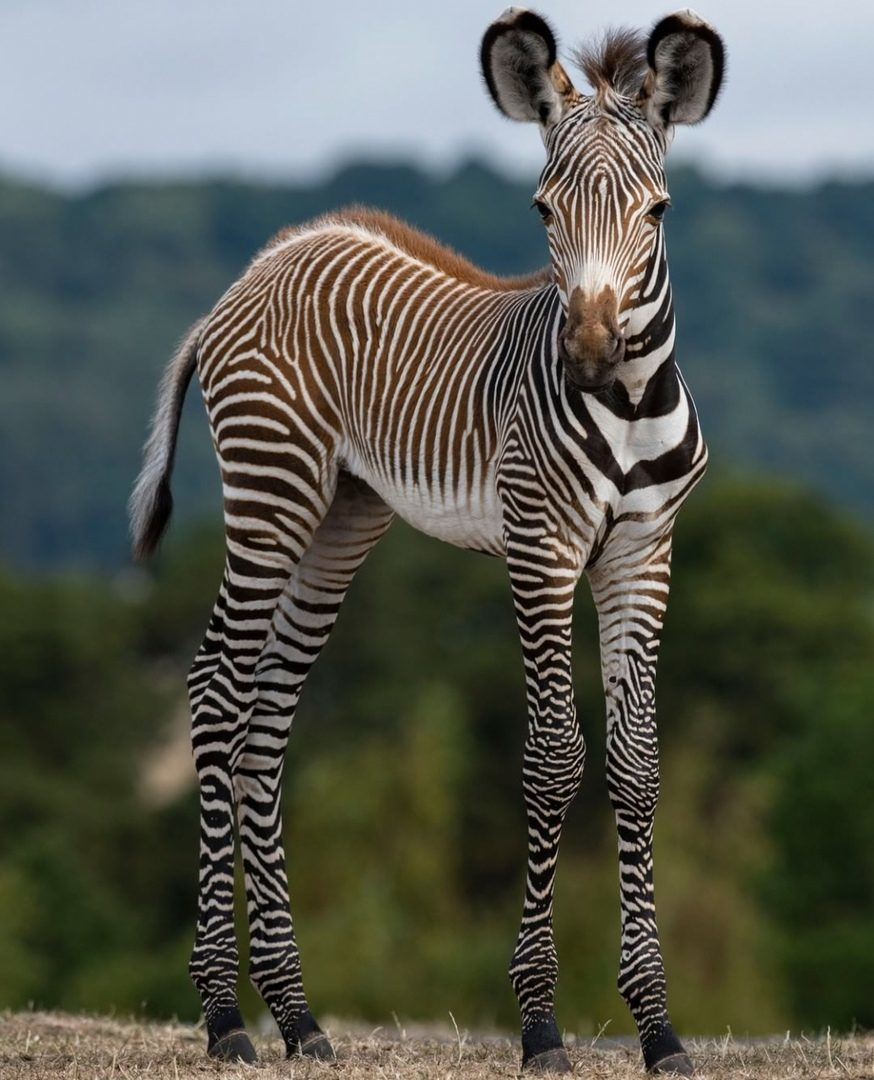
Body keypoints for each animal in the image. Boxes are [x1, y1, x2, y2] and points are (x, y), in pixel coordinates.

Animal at [129, 6, 721, 1071]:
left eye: (657, 213)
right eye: (542, 212)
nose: (589, 355)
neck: (623, 404)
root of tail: (256, 271)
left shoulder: (642, 553)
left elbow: (637, 764)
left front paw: (659, 1028)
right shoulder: (541, 545)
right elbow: (553, 757)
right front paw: (539, 1025)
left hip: (339, 520)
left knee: (266, 722)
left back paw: (298, 1016)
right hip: (271, 494)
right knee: (215, 692)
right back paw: (226, 1017)